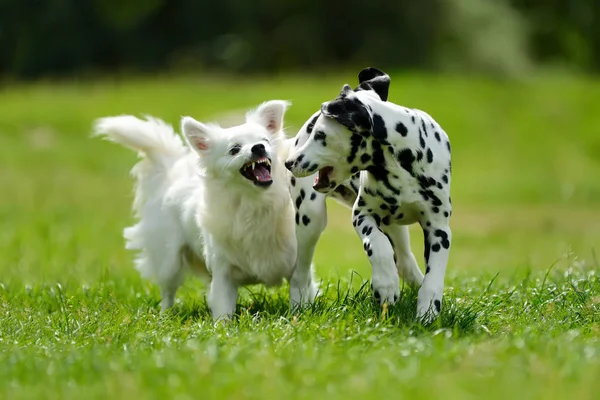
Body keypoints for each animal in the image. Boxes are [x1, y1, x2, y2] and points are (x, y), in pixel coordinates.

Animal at [95, 101, 310, 320]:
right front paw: (223, 326)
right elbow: (223, 309)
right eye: (234, 149)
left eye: (265, 141)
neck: (255, 203)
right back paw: (165, 315)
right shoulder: (223, 275)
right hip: (169, 261)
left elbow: (300, 292)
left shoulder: (299, 265)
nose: (258, 147)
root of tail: (171, 170)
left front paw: (299, 316)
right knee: (168, 291)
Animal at [286, 68, 450, 322]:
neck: (399, 163)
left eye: (321, 135)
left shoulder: (439, 229)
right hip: (310, 220)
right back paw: (299, 305)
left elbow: (434, 275)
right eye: (313, 132)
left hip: (396, 228)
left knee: (405, 260)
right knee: (300, 272)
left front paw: (428, 310)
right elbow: (378, 246)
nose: (289, 162)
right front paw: (385, 286)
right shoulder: (362, 215)